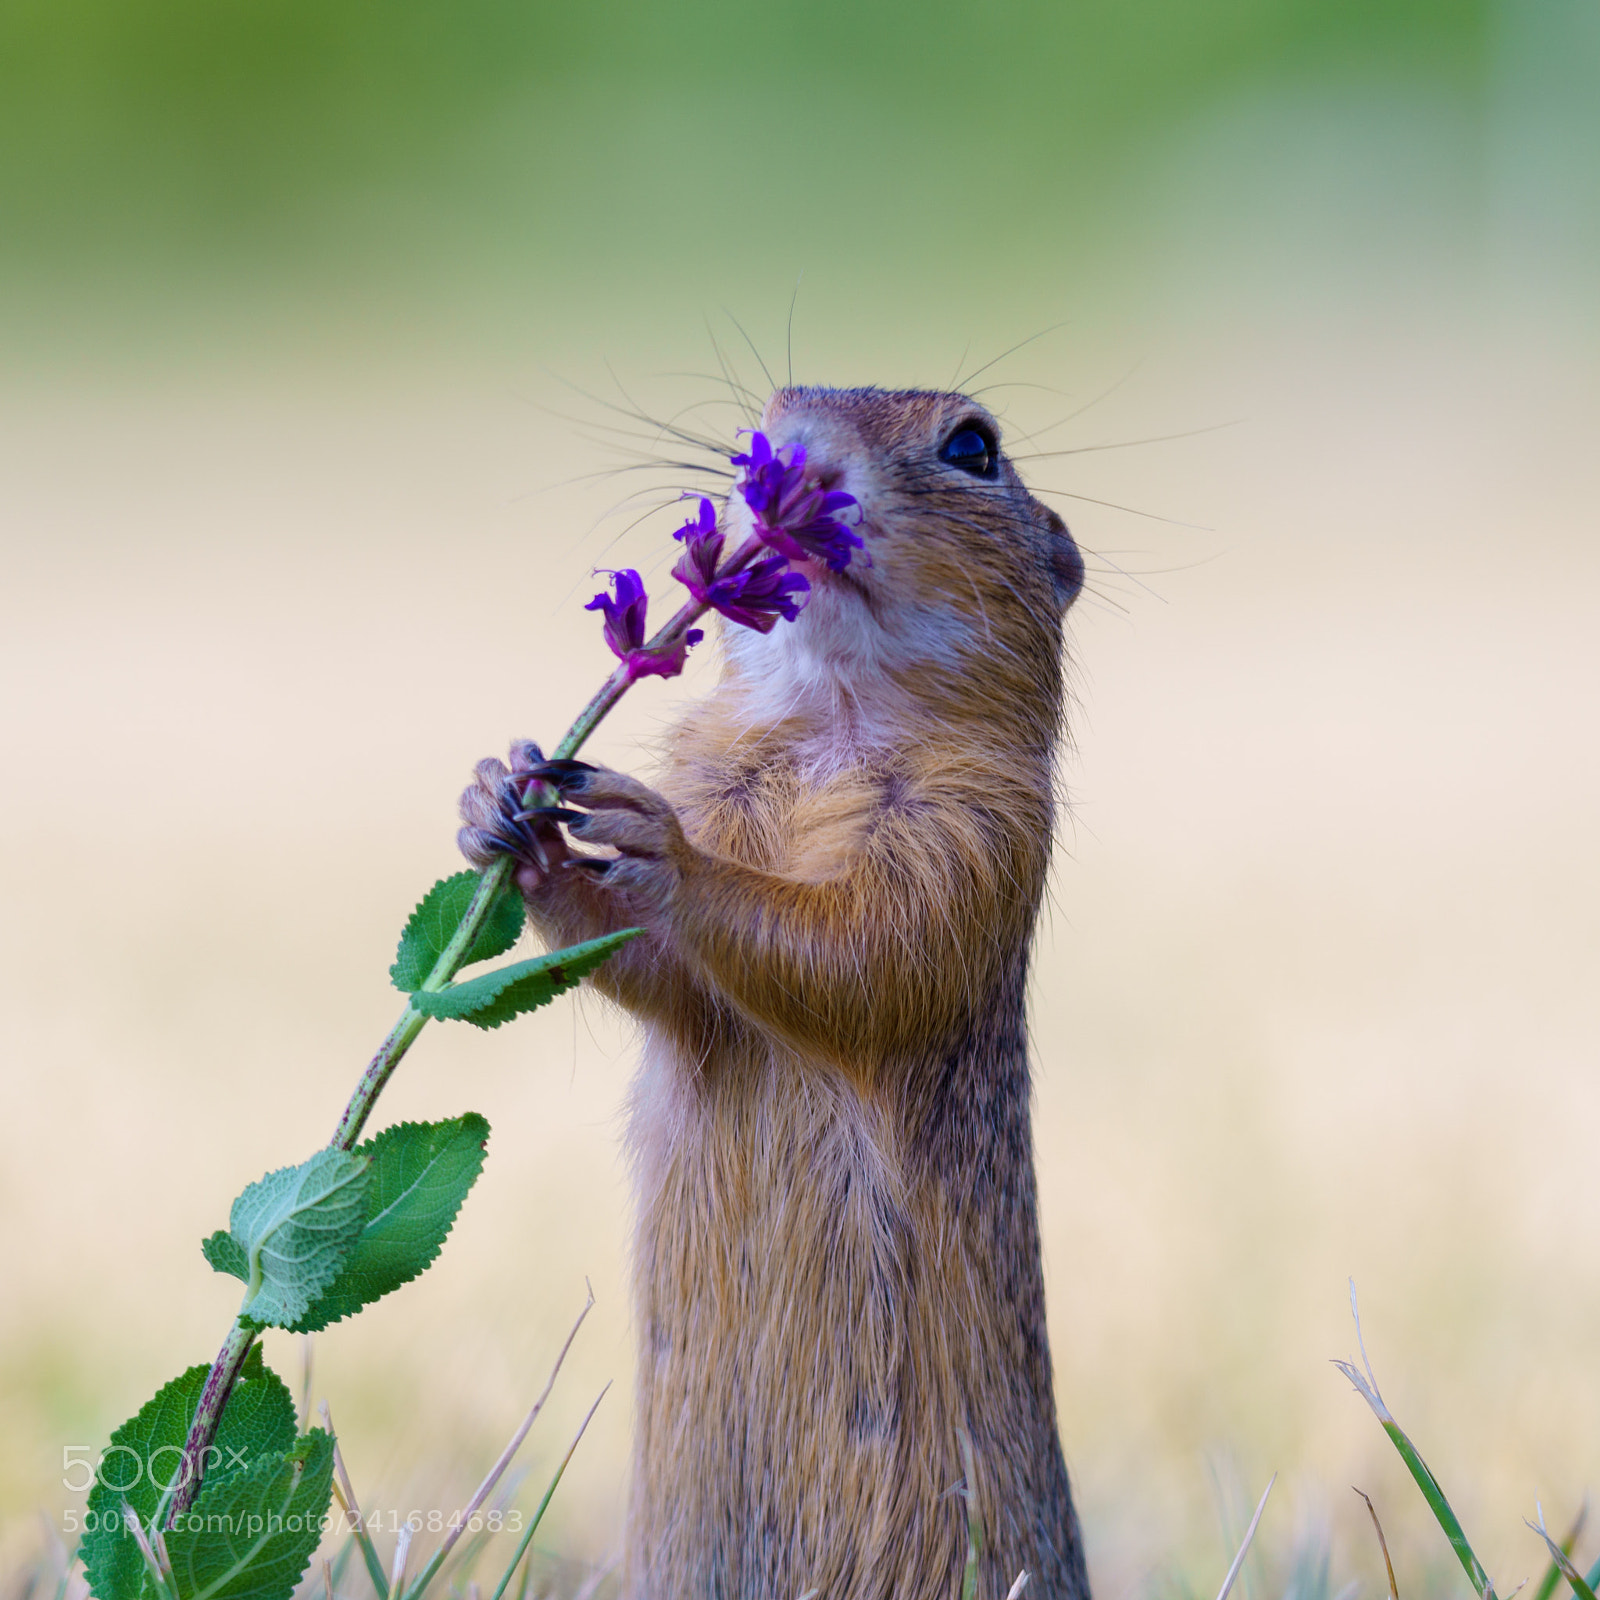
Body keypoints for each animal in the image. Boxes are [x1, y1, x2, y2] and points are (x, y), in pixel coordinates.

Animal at [458, 386, 1092, 1600]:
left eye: (974, 446)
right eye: (776, 406)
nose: (791, 460)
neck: (828, 720)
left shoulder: (976, 834)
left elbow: (862, 953)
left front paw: (655, 840)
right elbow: (672, 982)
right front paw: (505, 808)